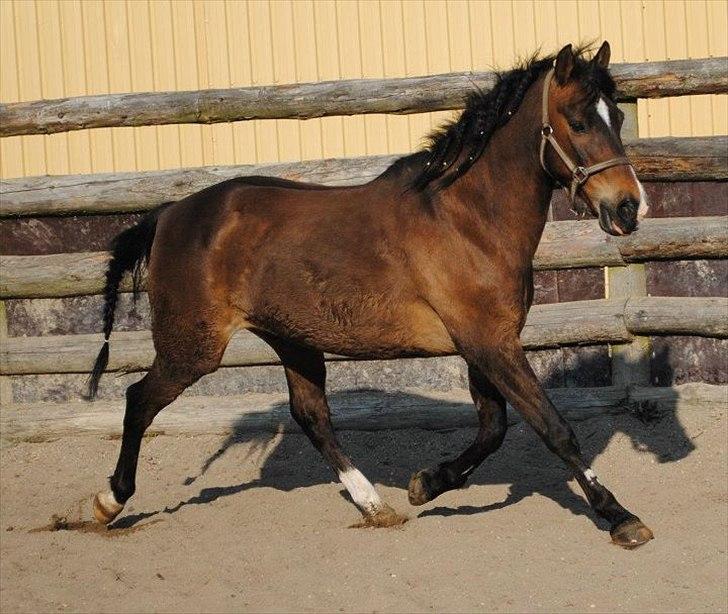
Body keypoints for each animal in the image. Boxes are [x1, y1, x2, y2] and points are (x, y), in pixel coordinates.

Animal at [88, 44, 652, 552]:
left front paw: (426, 484)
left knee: (311, 415)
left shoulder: (486, 342)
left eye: (619, 117)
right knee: (138, 400)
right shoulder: (489, 343)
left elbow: (494, 428)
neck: (468, 220)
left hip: (292, 339)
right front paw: (621, 518)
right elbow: (553, 428)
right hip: (194, 348)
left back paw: (376, 506)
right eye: (578, 122)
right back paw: (108, 502)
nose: (629, 208)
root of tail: (168, 215)